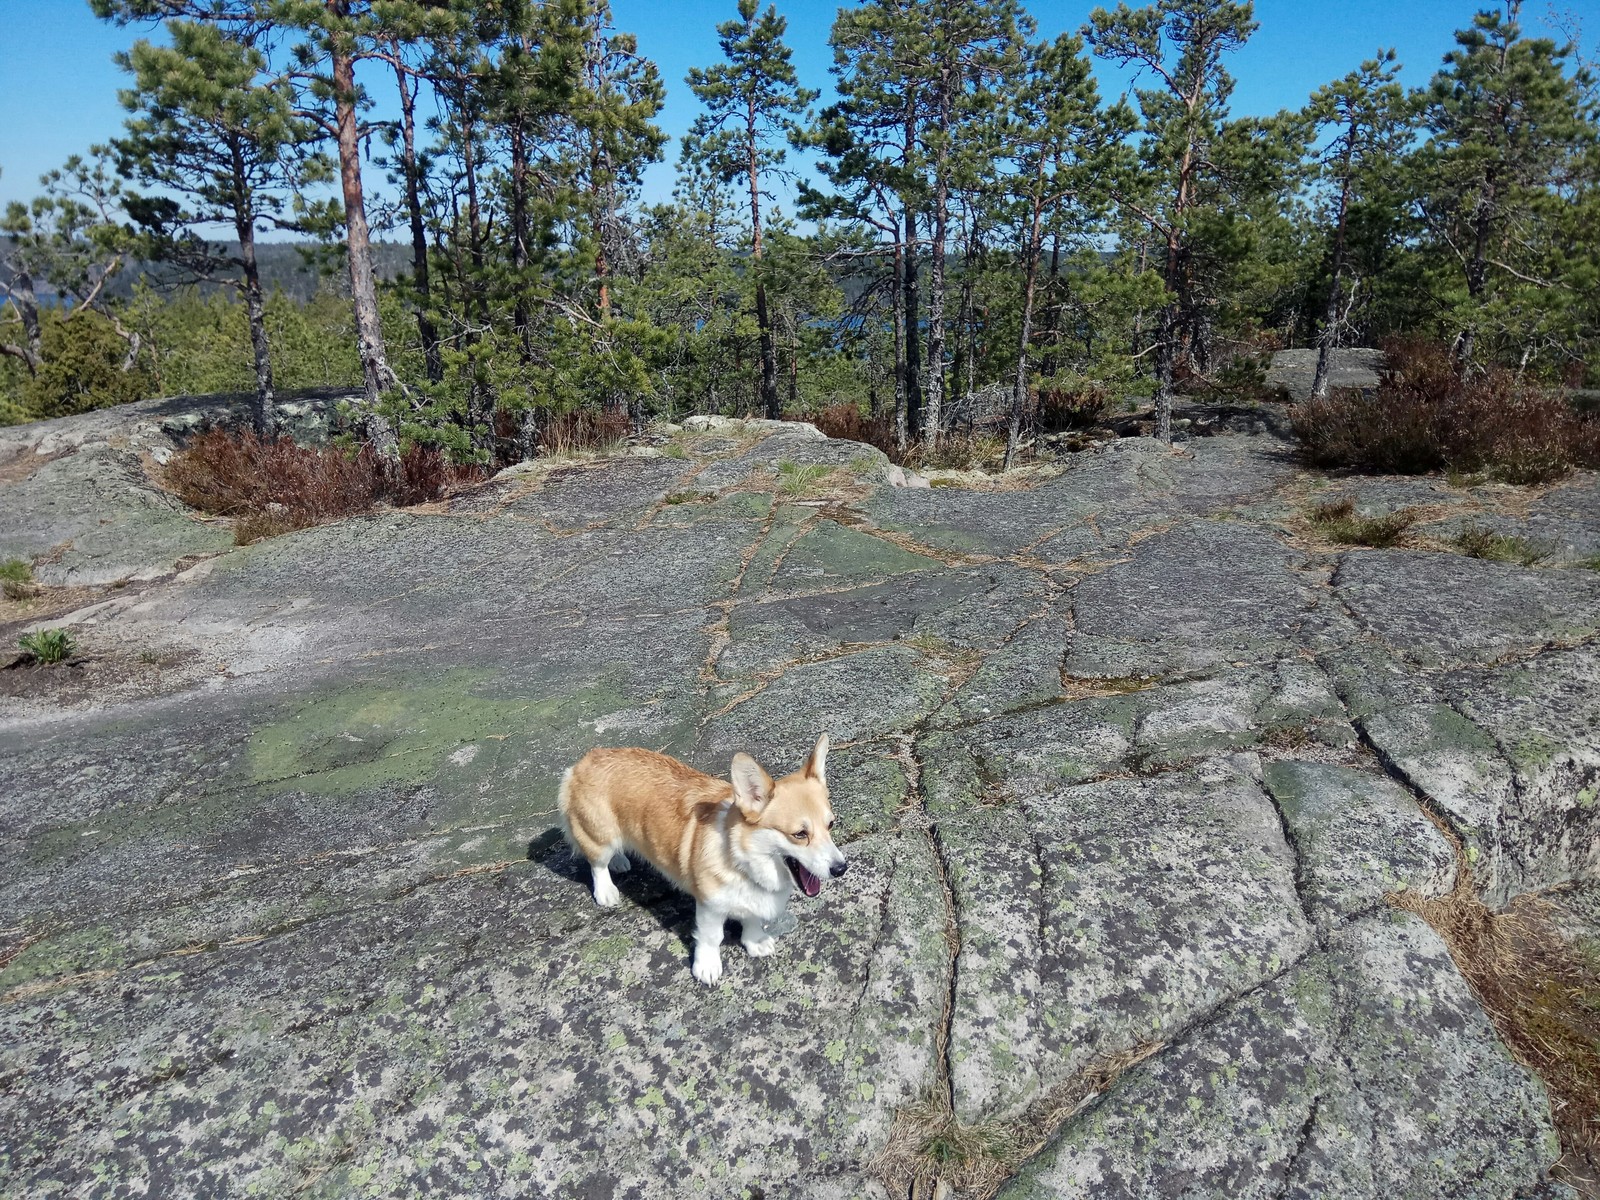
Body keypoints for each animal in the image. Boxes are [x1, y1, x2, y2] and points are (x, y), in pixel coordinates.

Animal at [556, 732, 844, 985]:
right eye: (800, 834)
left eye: (831, 825)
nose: (841, 868)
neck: (744, 859)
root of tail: (586, 759)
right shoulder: (710, 905)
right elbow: (711, 937)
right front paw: (707, 967)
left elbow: (752, 921)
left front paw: (755, 942)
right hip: (600, 836)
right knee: (597, 863)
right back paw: (606, 889)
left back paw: (620, 861)